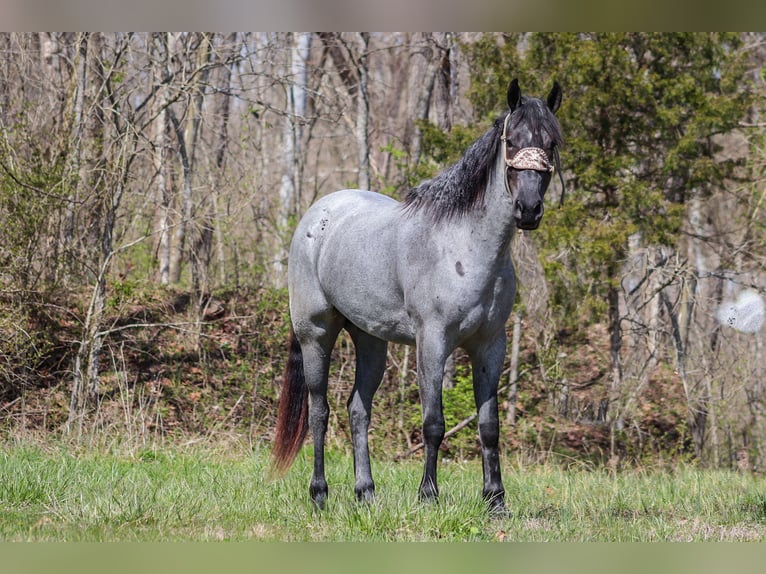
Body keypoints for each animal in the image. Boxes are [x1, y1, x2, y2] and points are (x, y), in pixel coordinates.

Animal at [270, 79, 564, 516]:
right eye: (511, 140)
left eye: (551, 142)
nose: (528, 210)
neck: (465, 247)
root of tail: (318, 213)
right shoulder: (433, 341)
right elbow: (433, 422)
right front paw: (428, 495)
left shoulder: (490, 346)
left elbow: (489, 426)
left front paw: (495, 499)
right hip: (316, 334)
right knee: (320, 411)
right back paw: (320, 494)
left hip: (370, 341)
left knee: (358, 410)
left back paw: (365, 493)